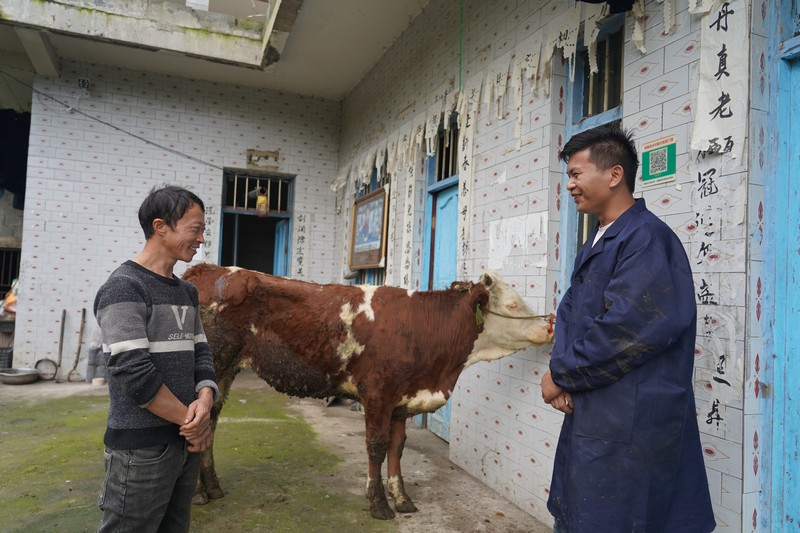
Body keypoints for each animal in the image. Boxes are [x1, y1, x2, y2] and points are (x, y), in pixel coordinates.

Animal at [184, 264, 552, 516]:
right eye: (514, 305)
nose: (548, 326)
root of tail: (209, 269)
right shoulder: (377, 393)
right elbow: (376, 446)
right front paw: (378, 503)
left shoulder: (403, 398)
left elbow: (397, 447)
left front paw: (402, 498)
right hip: (216, 366)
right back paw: (198, 494)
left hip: (225, 372)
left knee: (211, 421)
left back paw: (212, 487)